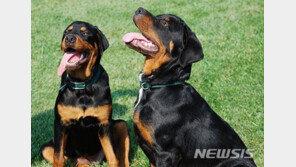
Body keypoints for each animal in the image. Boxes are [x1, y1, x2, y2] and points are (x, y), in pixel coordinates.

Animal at [40, 21, 130, 167]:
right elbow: (58, 157)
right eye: (66, 31)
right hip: (47, 147)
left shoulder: (104, 124)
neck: (82, 86)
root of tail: (86, 160)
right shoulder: (60, 124)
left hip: (120, 124)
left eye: (85, 32)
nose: (69, 38)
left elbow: (113, 158)